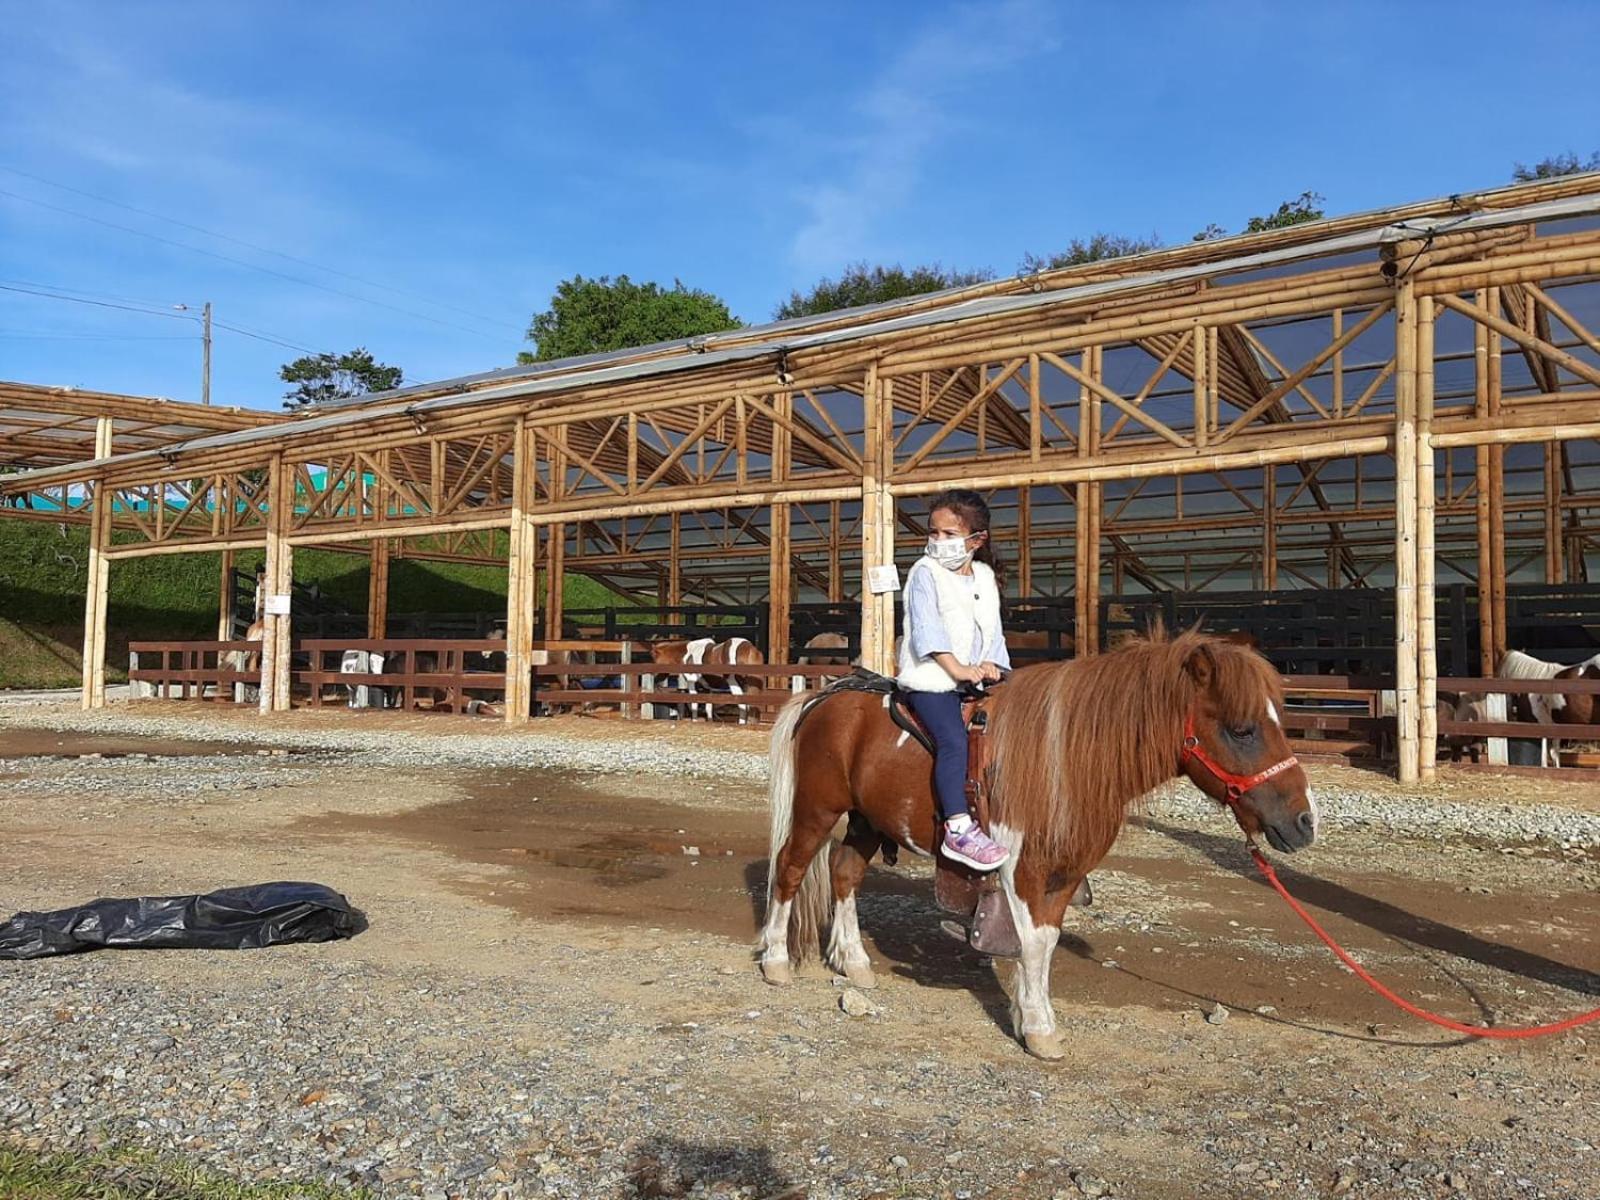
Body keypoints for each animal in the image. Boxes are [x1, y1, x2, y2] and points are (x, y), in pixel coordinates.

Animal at [758, 633, 1312, 1056]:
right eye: (1242, 729)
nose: (1304, 822)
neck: (1064, 757)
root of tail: (828, 695)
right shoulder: (1024, 869)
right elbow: (1030, 945)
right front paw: (1039, 1027)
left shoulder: (1065, 874)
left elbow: (1045, 942)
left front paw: (1032, 1019)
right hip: (816, 809)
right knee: (790, 868)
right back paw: (777, 962)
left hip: (868, 821)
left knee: (844, 872)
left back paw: (854, 962)